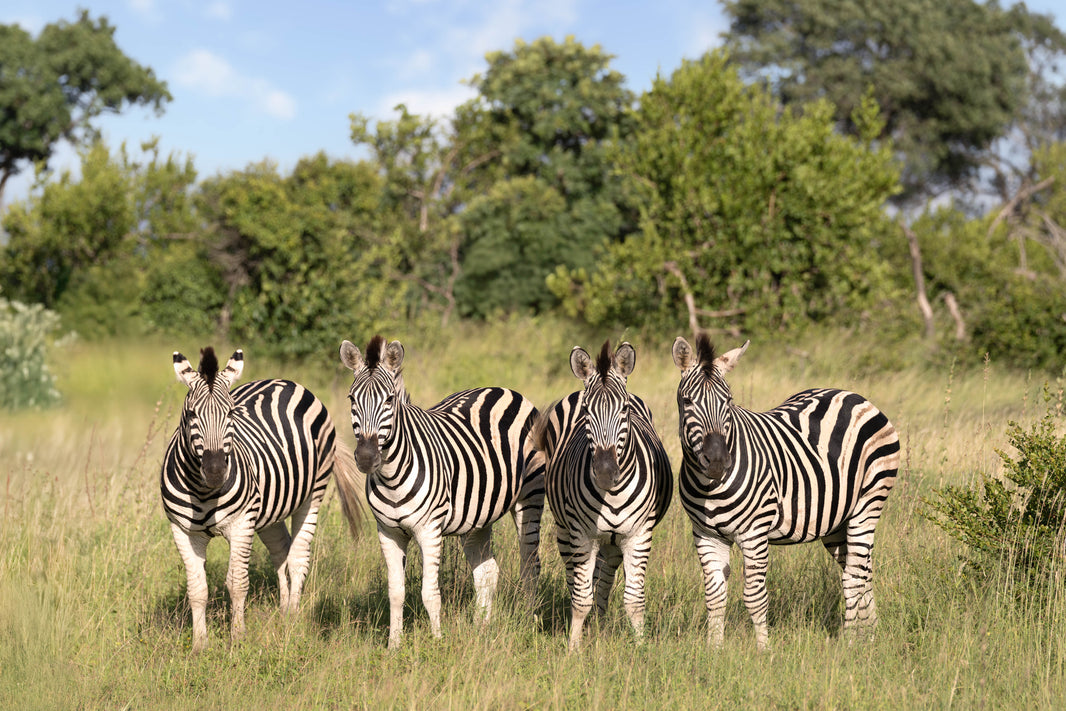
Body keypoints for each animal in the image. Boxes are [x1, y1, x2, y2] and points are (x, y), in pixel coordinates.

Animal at [162, 347, 339, 653]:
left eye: (231, 412)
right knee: (281, 551)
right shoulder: (183, 531)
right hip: (269, 508)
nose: (216, 471)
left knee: (298, 557)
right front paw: (199, 645)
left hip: (313, 493)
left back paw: (293, 619)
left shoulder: (242, 524)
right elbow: (197, 589)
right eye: (192, 414)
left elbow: (237, 583)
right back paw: (283, 612)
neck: (203, 491)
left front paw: (238, 639)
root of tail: (282, 380)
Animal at [336, 336, 544, 649]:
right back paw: (481, 628)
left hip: (528, 500)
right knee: (487, 571)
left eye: (389, 399)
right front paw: (393, 647)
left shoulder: (429, 529)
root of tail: (504, 389)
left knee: (531, 567)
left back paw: (530, 626)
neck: (391, 476)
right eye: (351, 399)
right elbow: (395, 593)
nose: (366, 458)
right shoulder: (388, 532)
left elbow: (430, 594)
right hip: (476, 518)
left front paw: (436, 643)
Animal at [535, 341, 673, 651]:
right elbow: (580, 597)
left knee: (604, 580)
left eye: (625, 410)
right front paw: (574, 648)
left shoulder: (639, 535)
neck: (613, 496)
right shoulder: (582, 535)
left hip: (612, 543)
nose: (606, 474)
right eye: (586, 411)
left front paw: (641, 648)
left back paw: (599, 624)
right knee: (576, 578)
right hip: (565, 531)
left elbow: (633, 600)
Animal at [671, 333, 900, 649]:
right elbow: (714, 597)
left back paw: (851, 642)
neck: (710, 487)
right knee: (862, 570)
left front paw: (763, 651)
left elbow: (754, 598)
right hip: (836, 521)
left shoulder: (754, 534)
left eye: (728, 401)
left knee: (854, 576)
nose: (717, 461)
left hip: (868, 504)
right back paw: (871, 634)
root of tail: (852, 395)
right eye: (687, 401)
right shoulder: (706, 534)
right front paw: (713, 651)